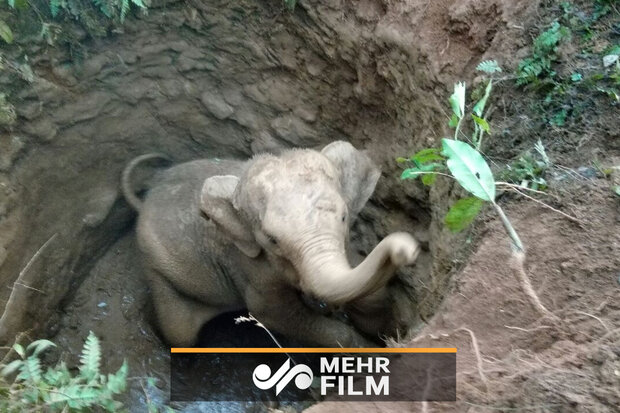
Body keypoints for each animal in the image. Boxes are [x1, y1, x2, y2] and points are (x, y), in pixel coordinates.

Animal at [121, 140, 418, 346]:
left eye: (344, 216)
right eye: (271, 240)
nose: (407, 248)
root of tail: (146, 196)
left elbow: (370, 289)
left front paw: (388, 332)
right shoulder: (251, 266)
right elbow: (273, 313)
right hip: (157, 266)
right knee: (180, 334)